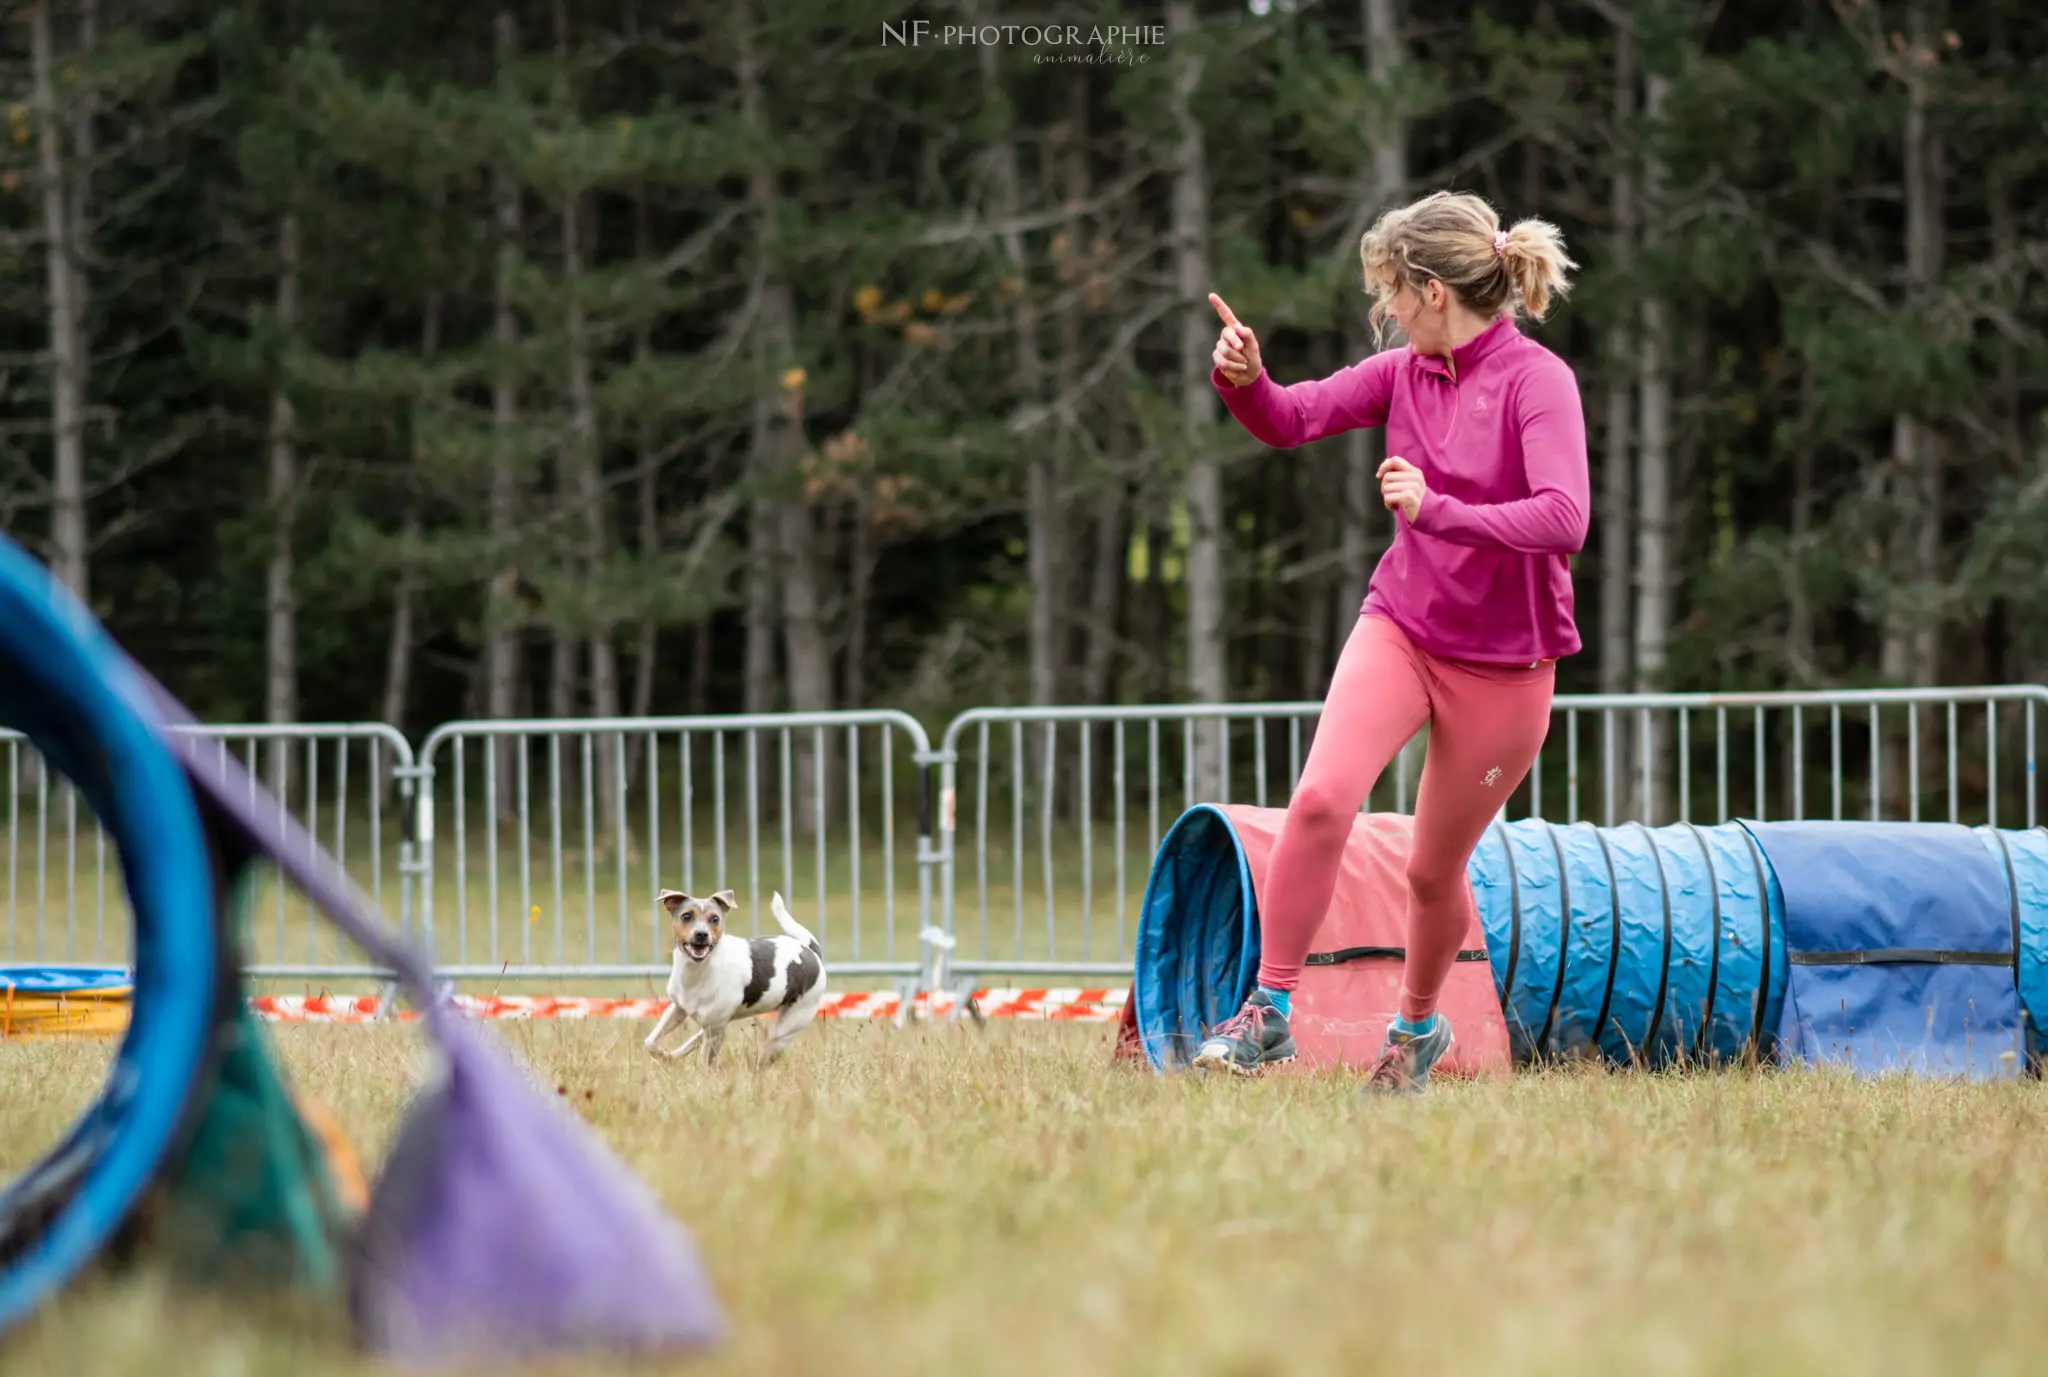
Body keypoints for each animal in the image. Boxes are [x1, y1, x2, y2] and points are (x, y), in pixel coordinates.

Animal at [647, 889, 823, 1073]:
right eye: (686, 916)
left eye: (715, 918)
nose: (701, 934)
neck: (699, 970)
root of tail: (810, 950)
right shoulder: (678, 1009)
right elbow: (650, 1043)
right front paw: (664, 1056)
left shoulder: (715, 1030)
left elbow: (705, 1064)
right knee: (694, 1040)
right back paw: (672, 1056)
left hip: (783, 1032)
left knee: (761, 1062)